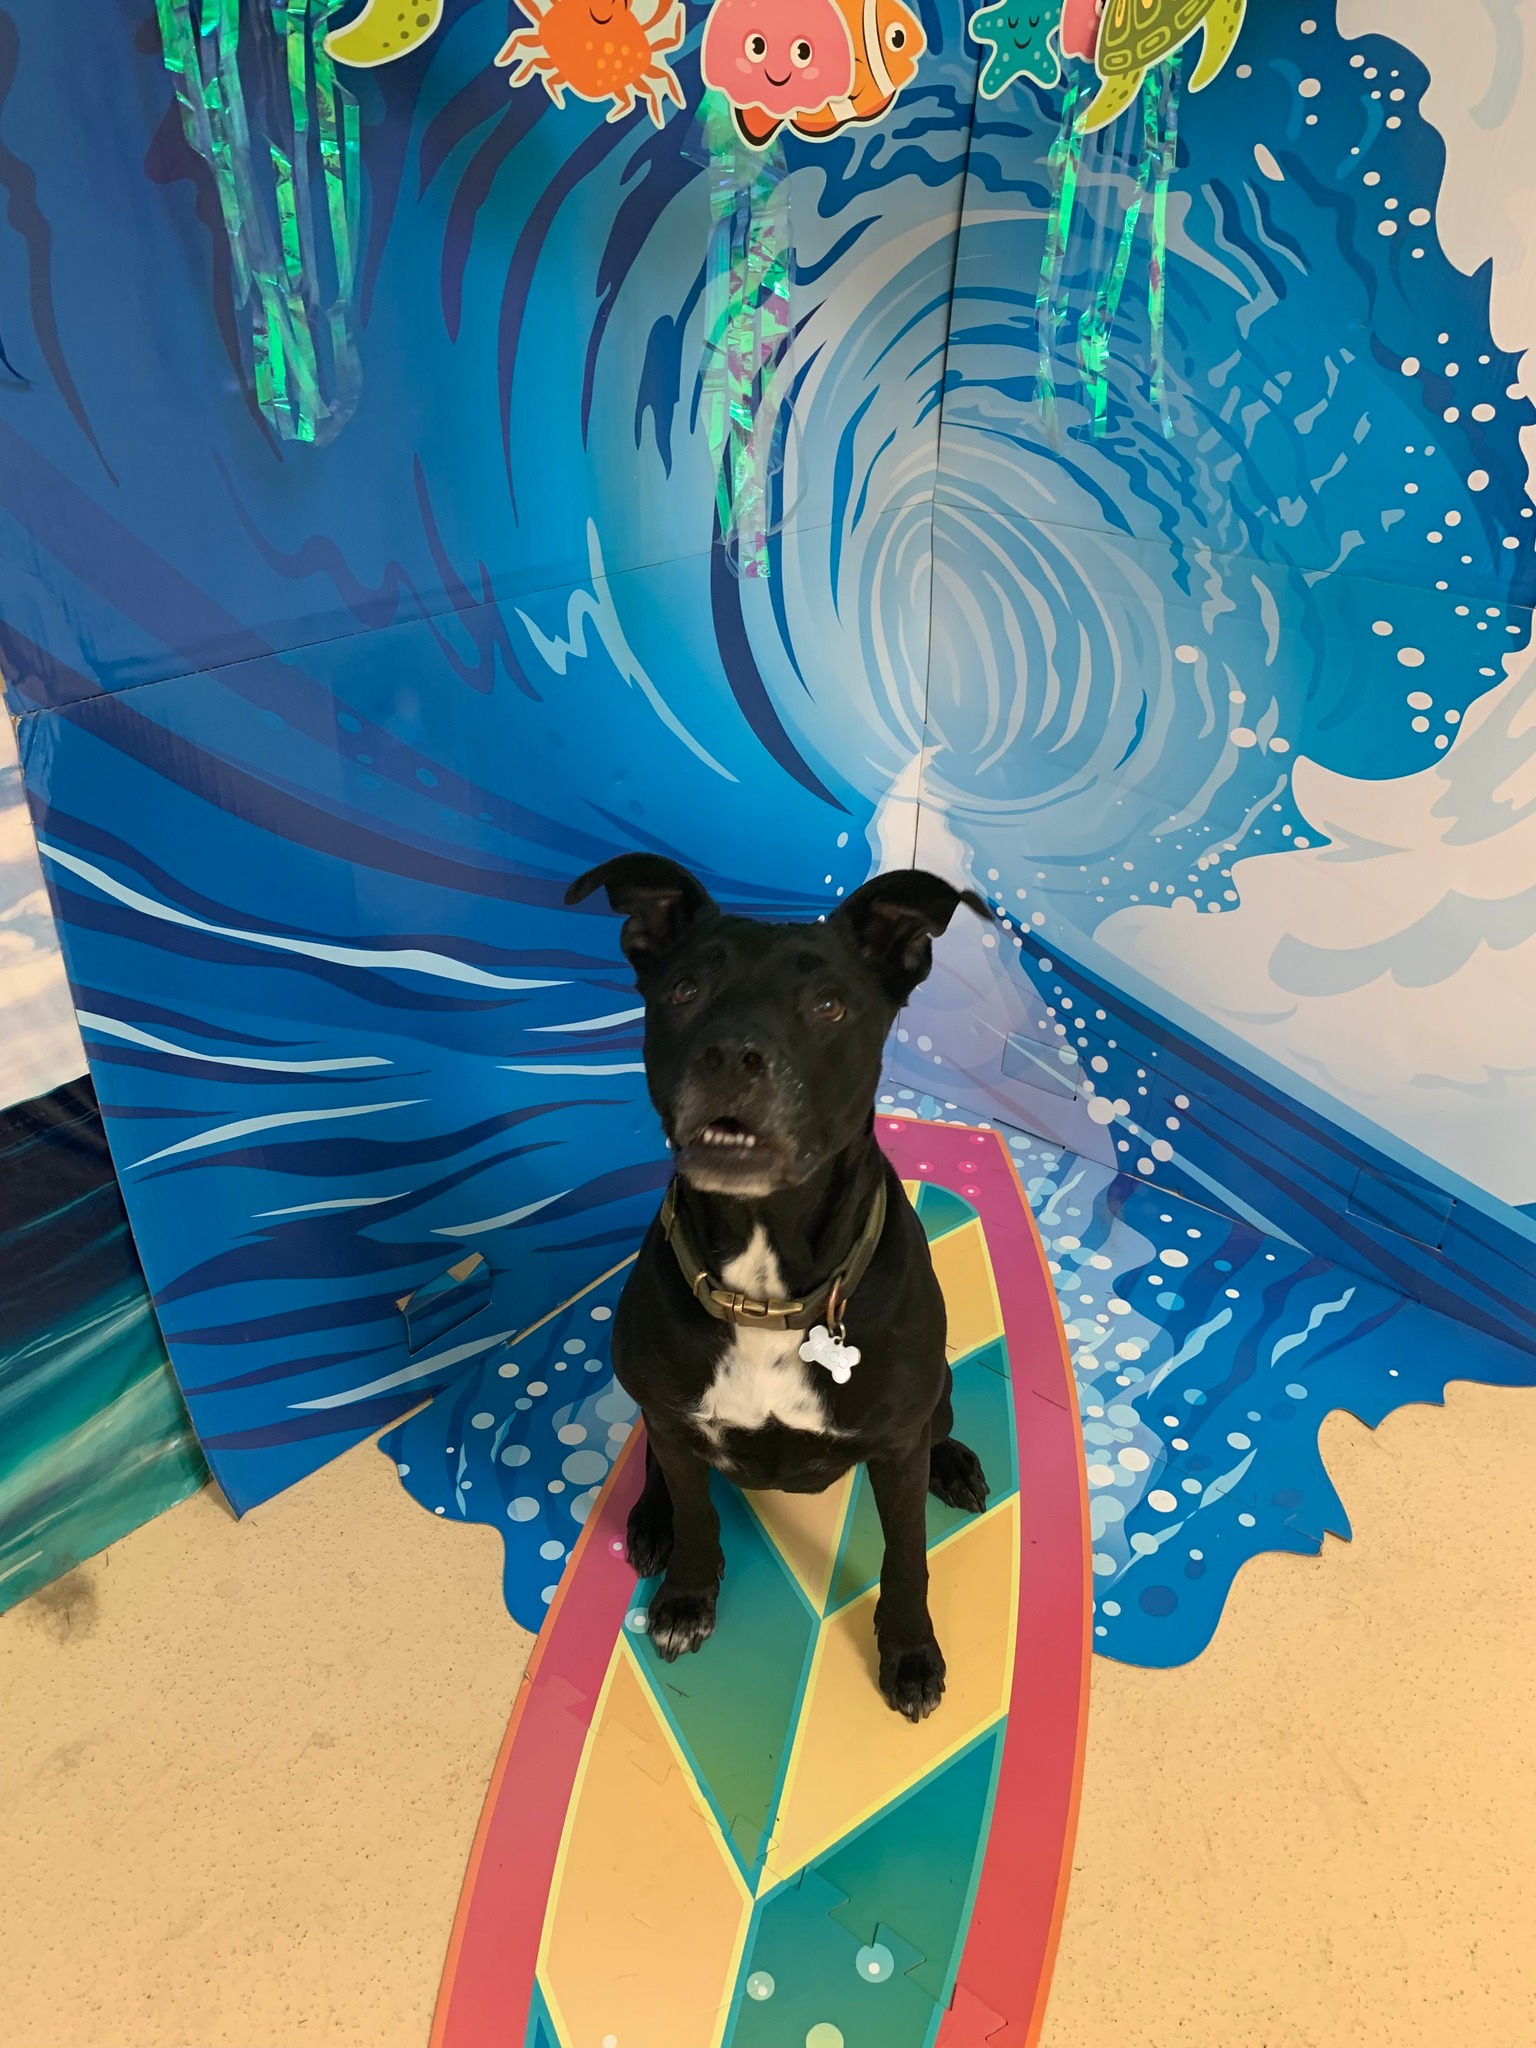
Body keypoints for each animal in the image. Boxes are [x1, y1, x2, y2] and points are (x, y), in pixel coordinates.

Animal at [566, 853, 992, 1720]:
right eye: (683, 989)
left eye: (829, 1004)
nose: (731, 1055)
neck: (766, 1290)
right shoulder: (675, 1418)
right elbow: (698, 1514)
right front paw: (686, 1596)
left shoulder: (894, 1444)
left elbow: (907, 1555)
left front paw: (909, 1652)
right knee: (660, 1465)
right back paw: (651, 1519)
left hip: (933, 1395)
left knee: (940, 1421)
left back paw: (956, 1462)